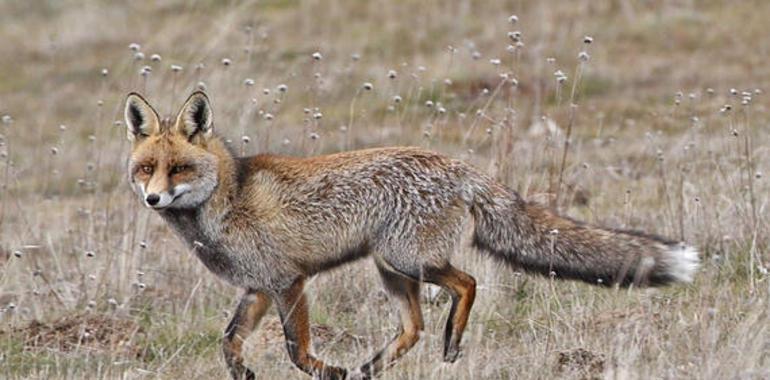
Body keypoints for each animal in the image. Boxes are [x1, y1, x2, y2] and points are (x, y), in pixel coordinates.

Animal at [123, 92, 700, 380]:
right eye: (147, 168)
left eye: (178, 169)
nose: (152, 200)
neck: (228, 197)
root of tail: (460, 167)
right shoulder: (258, 288)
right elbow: (228, 343)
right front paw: (246, 375)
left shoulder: (289, 281)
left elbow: (295, 349)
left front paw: (327, 372)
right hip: (392, 269)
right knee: (415, 326)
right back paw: (372, 367)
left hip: (407, 260)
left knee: (466, 285)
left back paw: (449, 343)